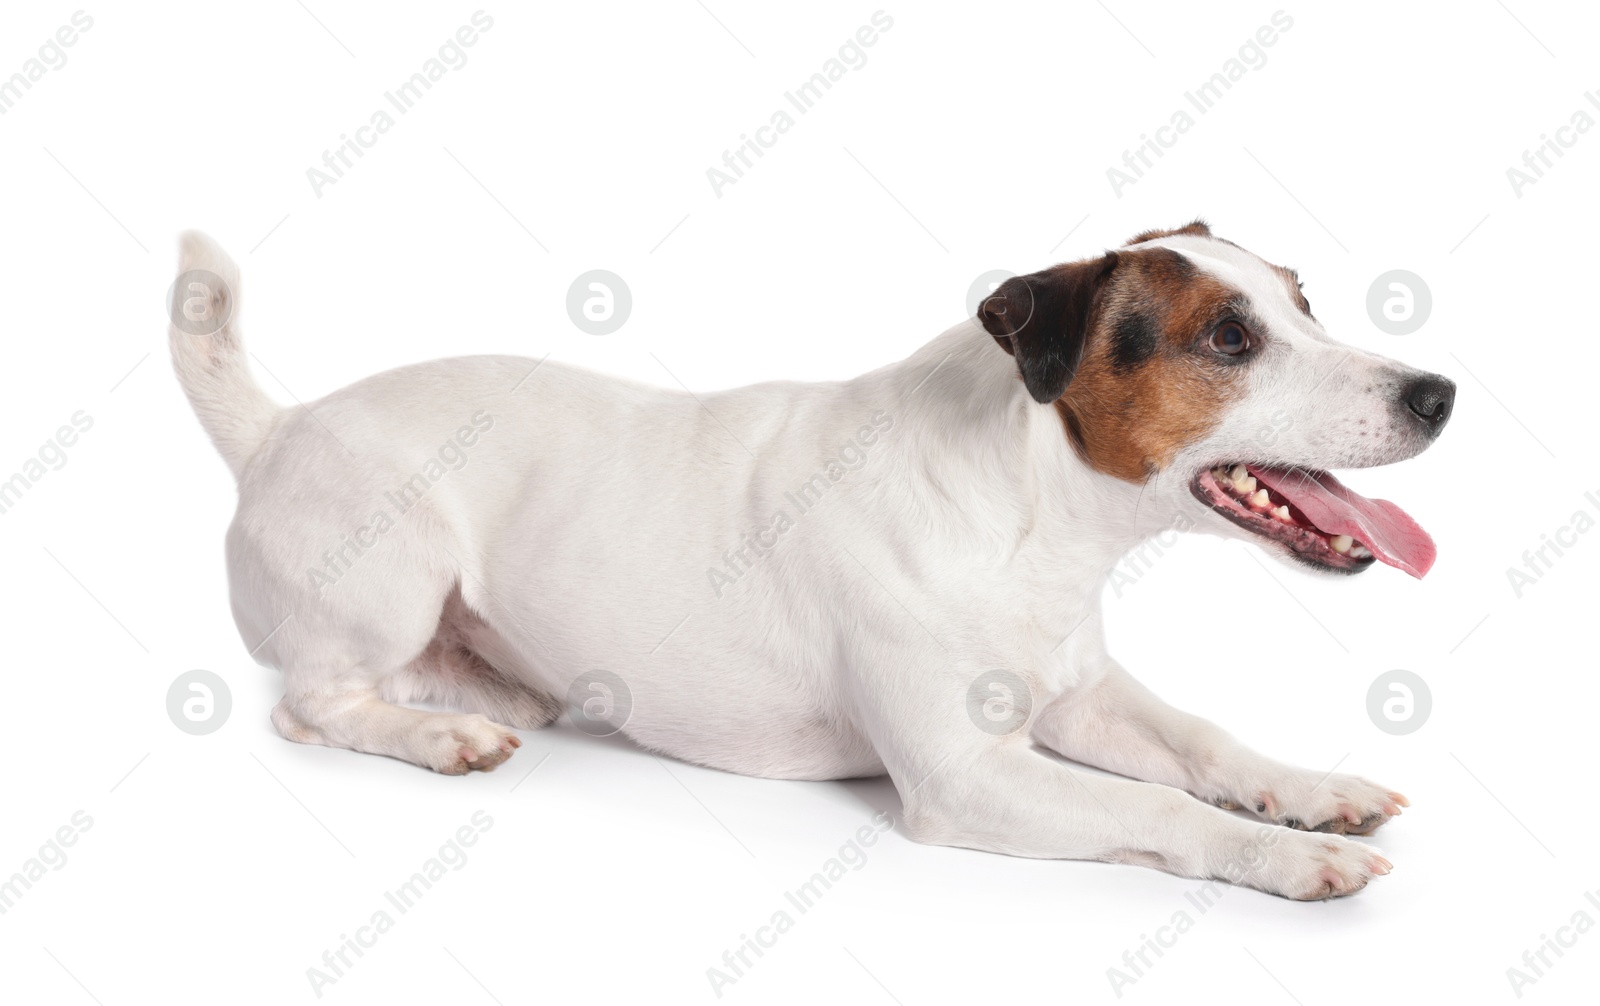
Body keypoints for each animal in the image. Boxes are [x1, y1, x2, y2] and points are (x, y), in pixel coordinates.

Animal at [172, 223, 1452, 895]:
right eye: (1230, 338)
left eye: (1305, 301)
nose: (1437, 392)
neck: (1028, 510)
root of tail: (279, 427)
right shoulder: (965, 777)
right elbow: (1163, 807)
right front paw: (1281, 854)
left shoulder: (1084, 694)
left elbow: (1200, 741)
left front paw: (1309, 790)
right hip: (390, 568)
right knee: (315, 703)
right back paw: (438, 733)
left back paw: (497, 690)